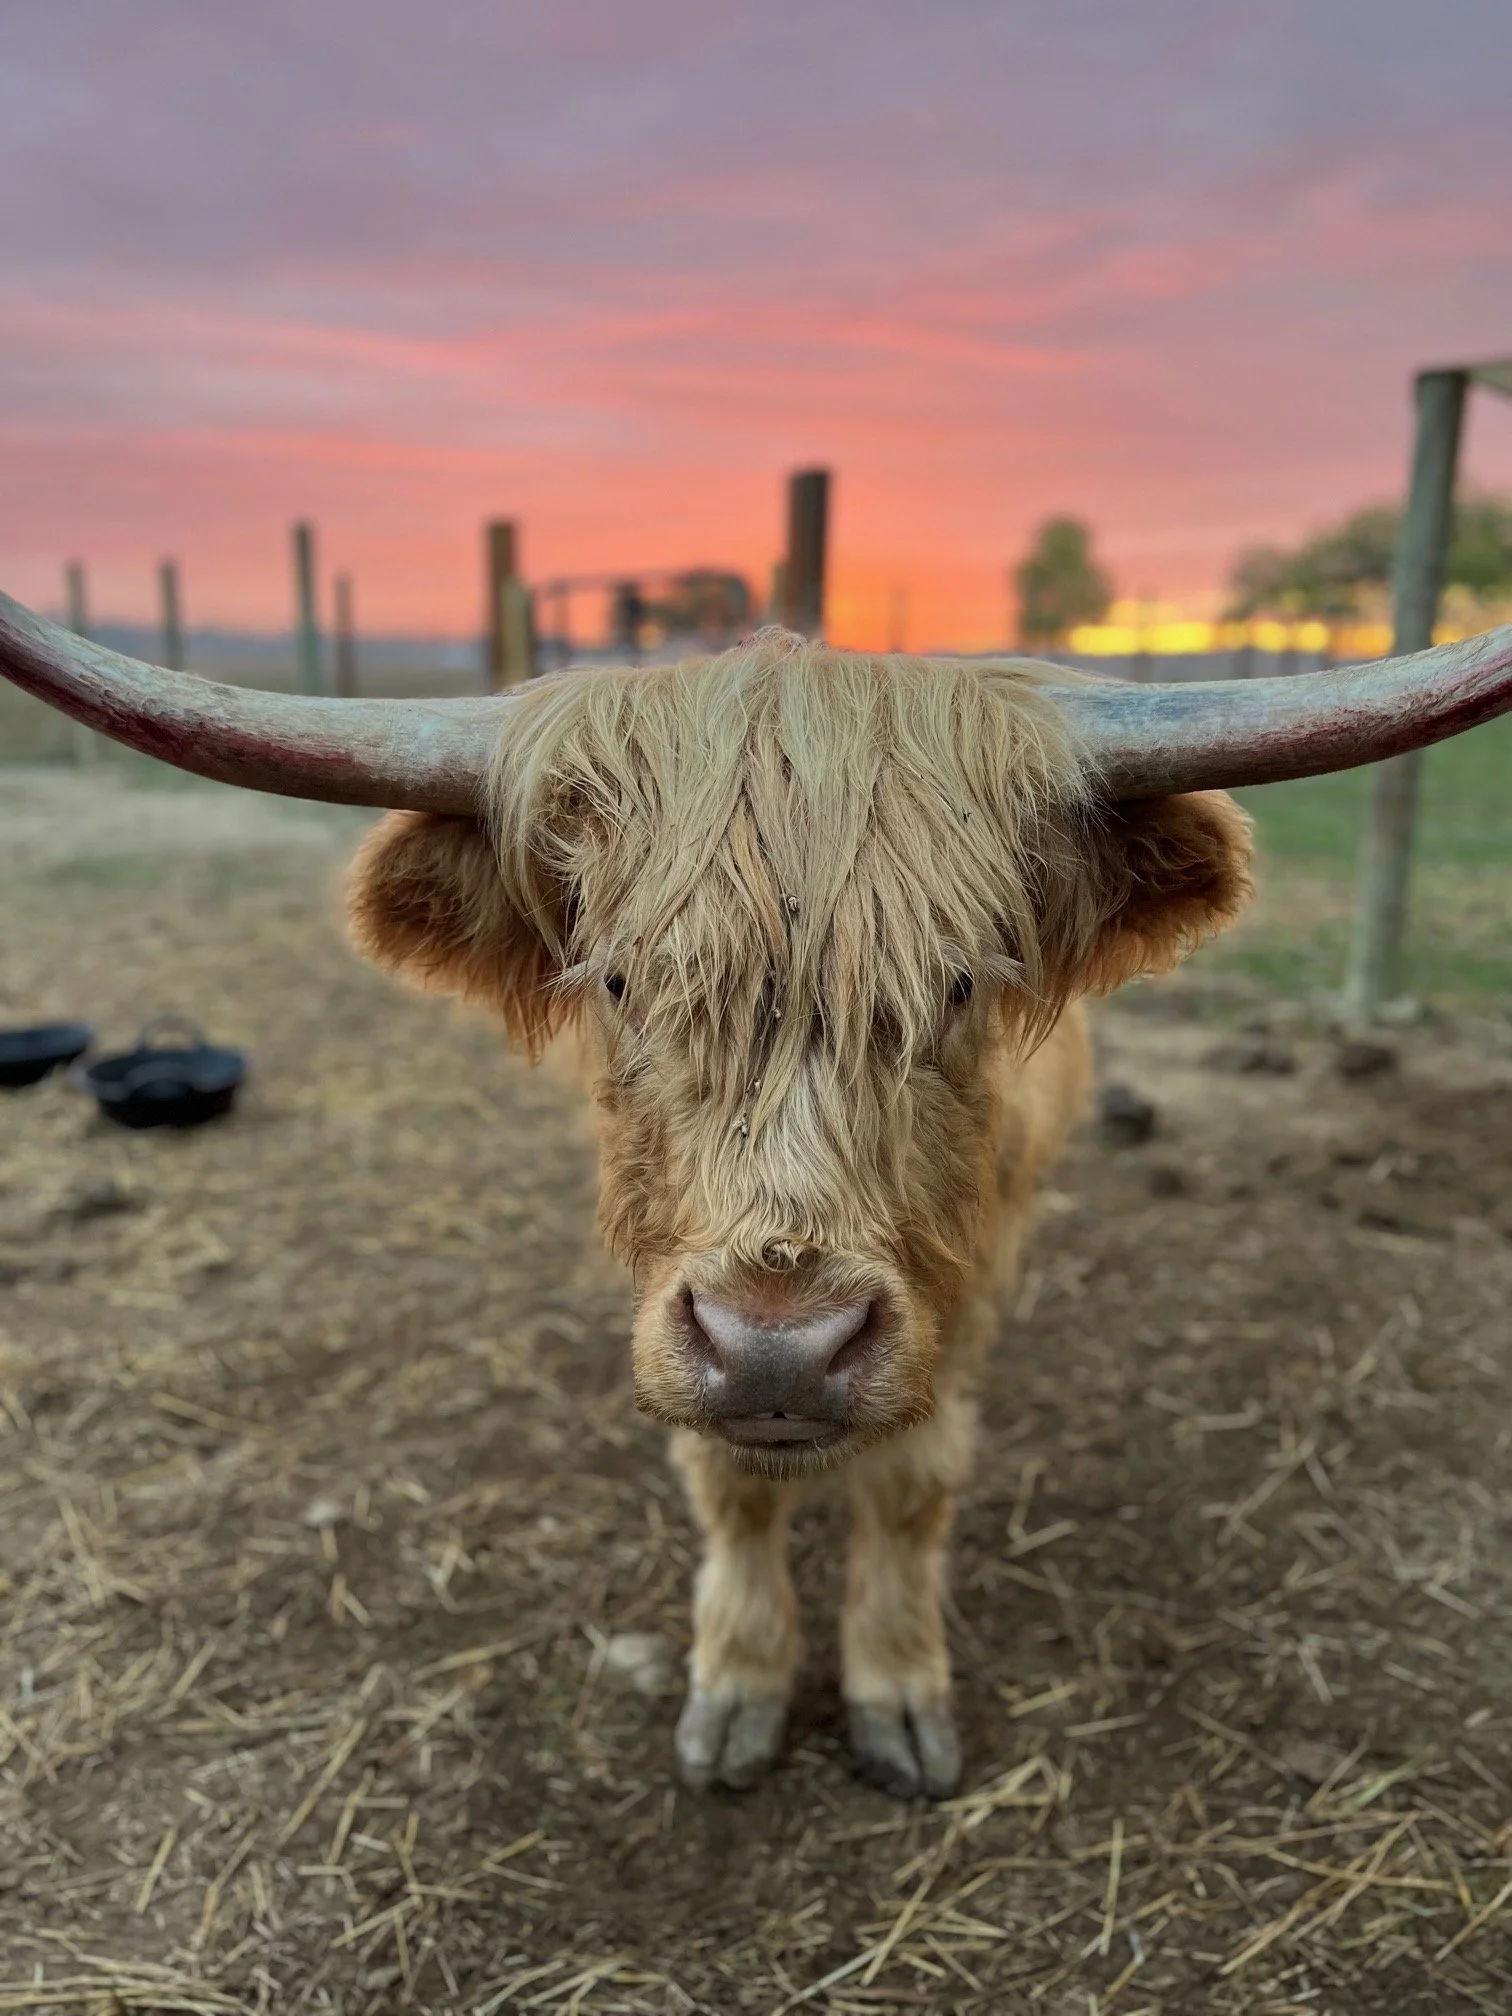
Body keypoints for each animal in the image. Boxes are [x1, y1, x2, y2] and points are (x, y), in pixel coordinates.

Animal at [4, 592, 1511, 1797]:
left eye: (956, 983)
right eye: (620, 979)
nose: (780, 1345)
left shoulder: (962, 1283)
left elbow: (912, 1483)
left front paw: (899, 1688)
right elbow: (726, 1484)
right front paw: (734, 1685)